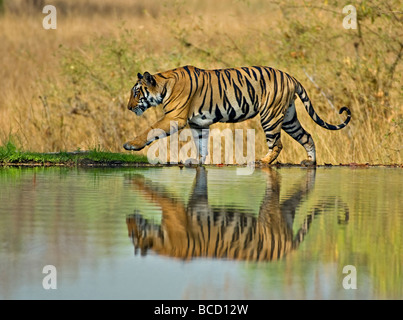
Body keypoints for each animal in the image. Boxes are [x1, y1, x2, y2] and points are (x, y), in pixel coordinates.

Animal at [124, 65, 352, 165]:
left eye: (136, 92)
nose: (128, 107)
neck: (164, 85)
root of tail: (291, 77)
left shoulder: (174, 118)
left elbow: (149, 130)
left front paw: (130, 145)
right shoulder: (199, 124)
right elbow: (201, 144)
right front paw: (197, 161)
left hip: (270, 116)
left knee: (277, 144)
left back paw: (262, 161)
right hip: (288, 118)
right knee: (307, 136)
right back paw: (310, 162)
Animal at [126, 166, 350, 262]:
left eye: (132, 234)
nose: (128, 219)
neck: (160, 238)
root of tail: (289, 250)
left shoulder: (174, 209)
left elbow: (155, 193)